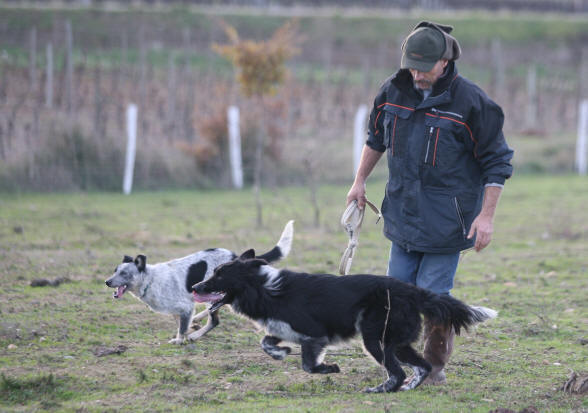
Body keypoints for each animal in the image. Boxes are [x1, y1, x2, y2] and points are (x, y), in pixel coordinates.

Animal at [105, 220, 294, 342]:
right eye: (115, 271)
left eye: (124, 273)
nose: (107, 282)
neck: (150, 280)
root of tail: (236, 258)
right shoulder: (181, 310)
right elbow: (181, 323)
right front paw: (191, 328)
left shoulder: (185, 307)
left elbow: (181, 330)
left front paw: (181, 339)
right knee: (211, 310)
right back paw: (197, 322)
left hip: (214, 291)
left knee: (214, 320)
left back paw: (195, 335)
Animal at [192, 249, 496, 392]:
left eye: (219, 274)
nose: (195, 286)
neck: (263, 288)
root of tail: (411, 290)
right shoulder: (283, 328)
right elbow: (266, 342)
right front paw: (281, 352)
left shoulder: (315, 334)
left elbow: (308, 365)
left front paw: (329, 368)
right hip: (396, 342)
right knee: (422, 366)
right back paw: (407, 387)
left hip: (375, 339)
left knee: (397, 372)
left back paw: (380, 391)